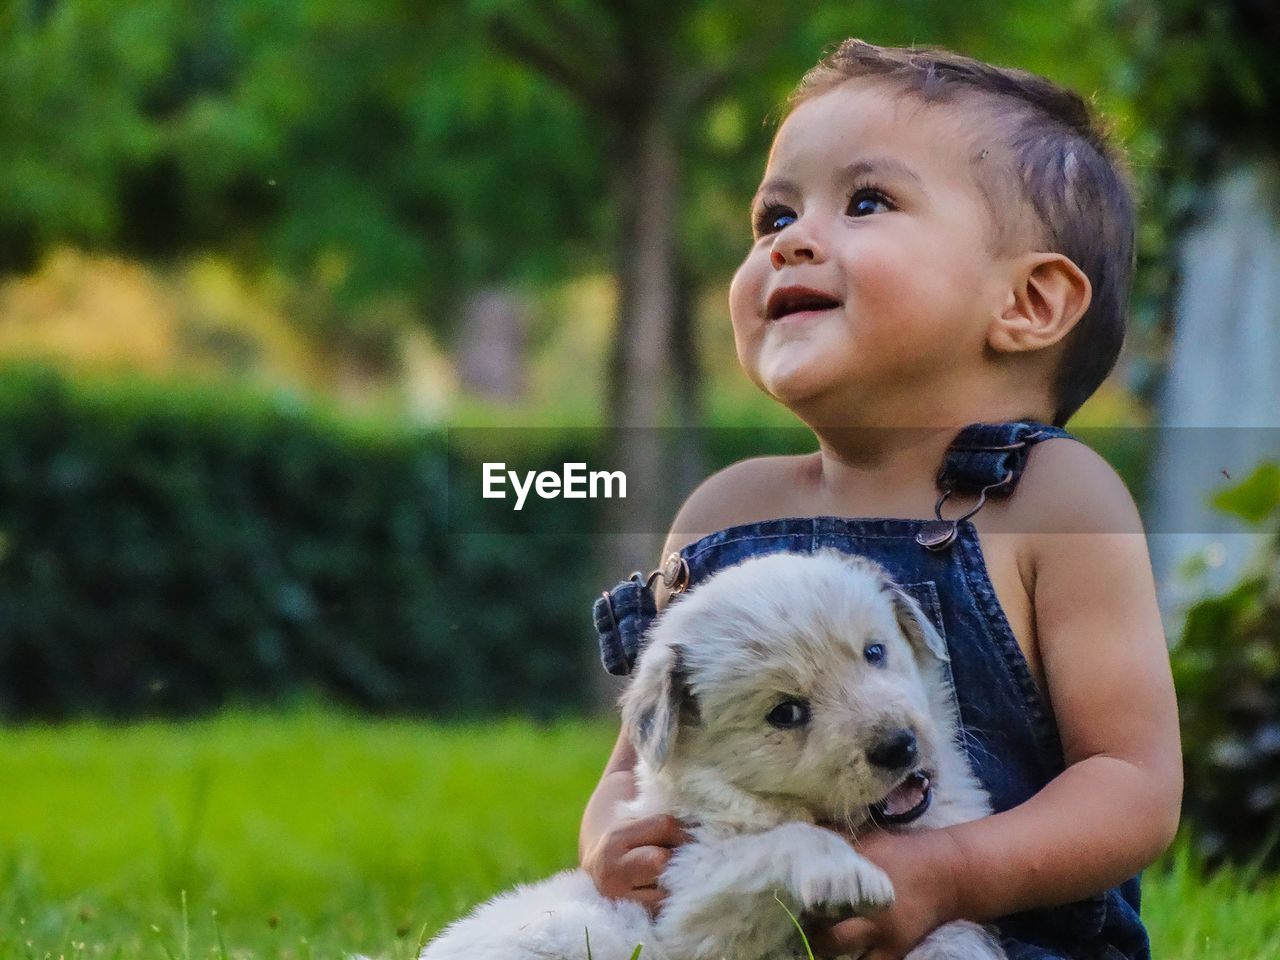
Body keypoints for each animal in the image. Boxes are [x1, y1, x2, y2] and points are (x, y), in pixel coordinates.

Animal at [417, 547, 998, 960]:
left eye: (874, 652)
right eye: (785, 713)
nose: (899, 746)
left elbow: (952, 935)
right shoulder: (691, 908)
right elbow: (781, 845)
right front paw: (846, 873)